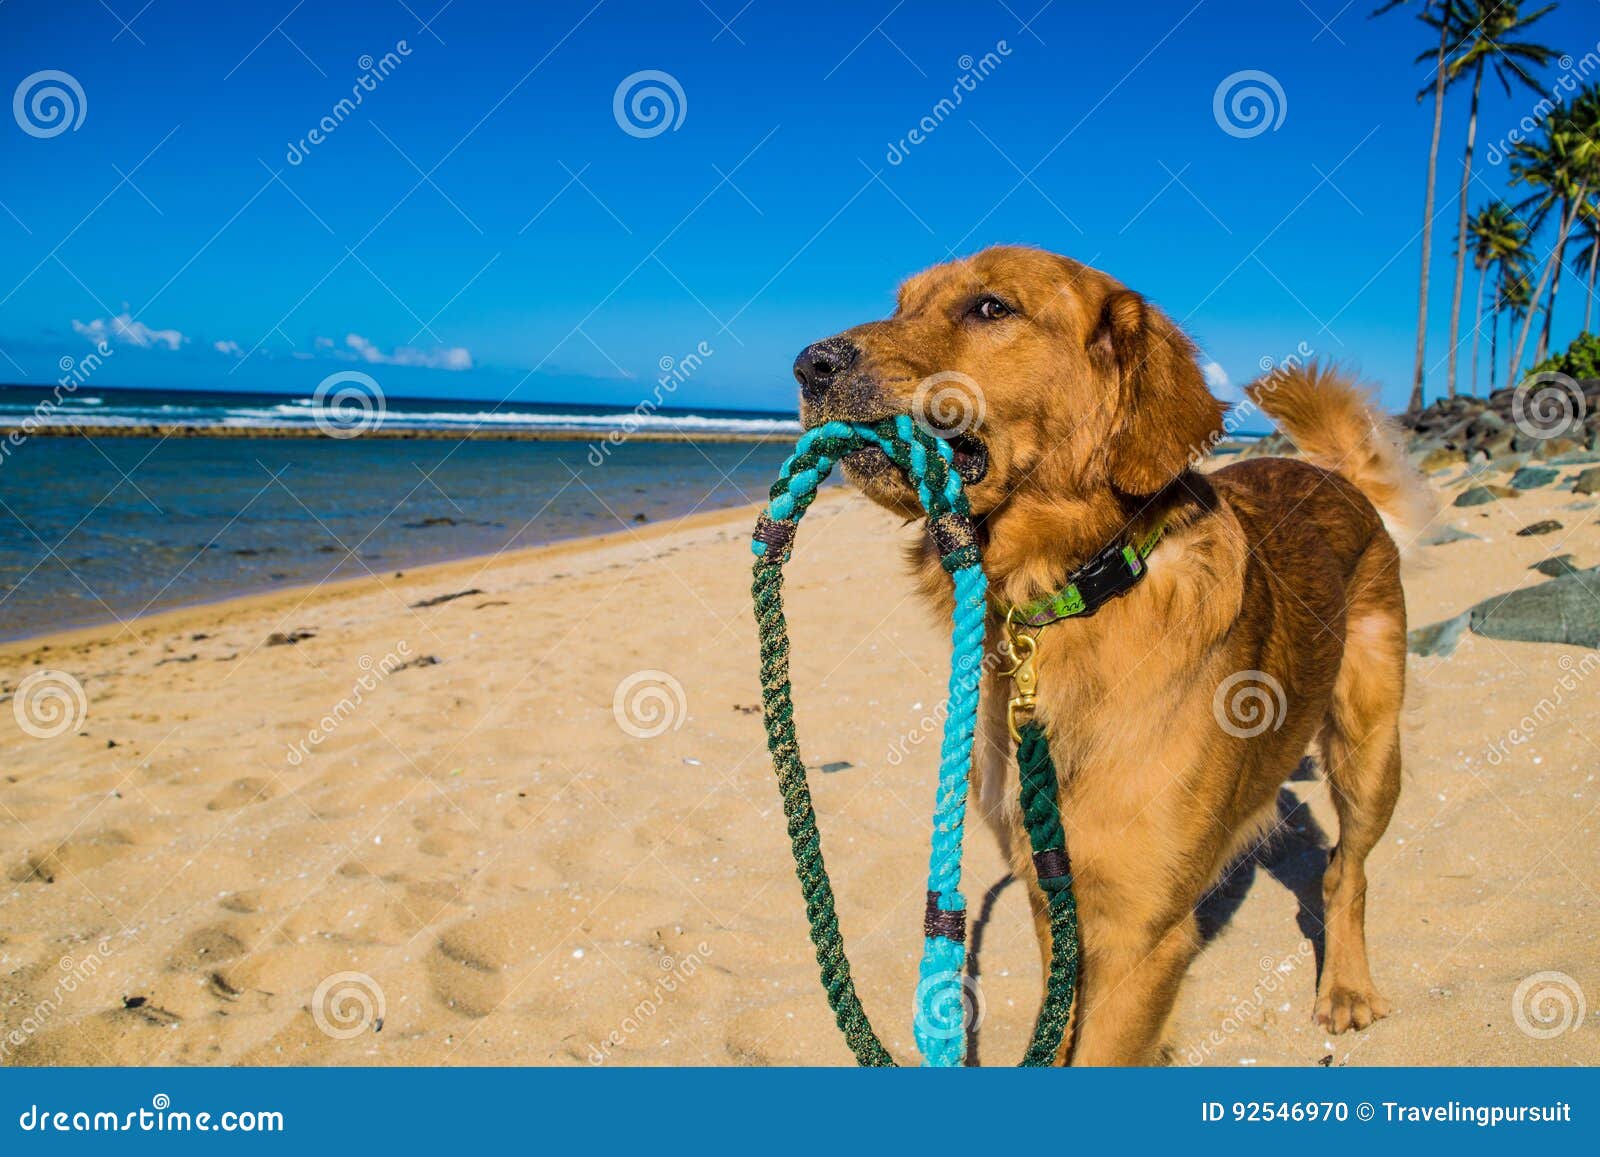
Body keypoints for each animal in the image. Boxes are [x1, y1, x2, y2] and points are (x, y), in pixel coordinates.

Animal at [793, 244, 1433, 1068]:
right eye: (901, 305)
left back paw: (1347, 984)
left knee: (1345, 872)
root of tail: (1335, 477)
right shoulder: (1052, 894)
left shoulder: (1139, 933)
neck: (1069, 593)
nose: (809, 365)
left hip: (1369, 749)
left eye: (991, 307)